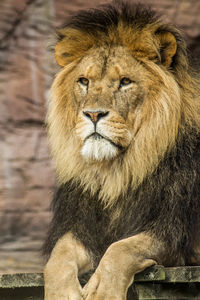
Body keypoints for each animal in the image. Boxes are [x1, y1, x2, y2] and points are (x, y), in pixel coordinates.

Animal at [42, 1, 200, 298]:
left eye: (125, 81)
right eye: (84, 81)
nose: (93, 114)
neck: (117, 172)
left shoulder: (174, 234)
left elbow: (122, 248)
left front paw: (103, 291)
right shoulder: (81, 226)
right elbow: (58, 257)